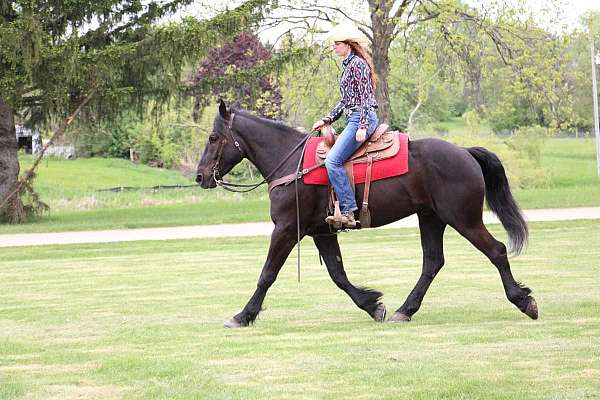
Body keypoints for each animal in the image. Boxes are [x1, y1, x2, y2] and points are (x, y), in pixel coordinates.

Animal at [197, 101, 540, 330]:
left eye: (213, 138)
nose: (200, 176)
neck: (291, 161)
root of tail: (464, 152)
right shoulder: (322, 232)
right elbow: (338, 274)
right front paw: (372, 305)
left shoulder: (286, 228)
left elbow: (267, 274)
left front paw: (243, 315)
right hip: (431, 217)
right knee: (432, 262)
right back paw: (405, 309)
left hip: (463, 219)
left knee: (496, 251)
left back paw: (524, 301)